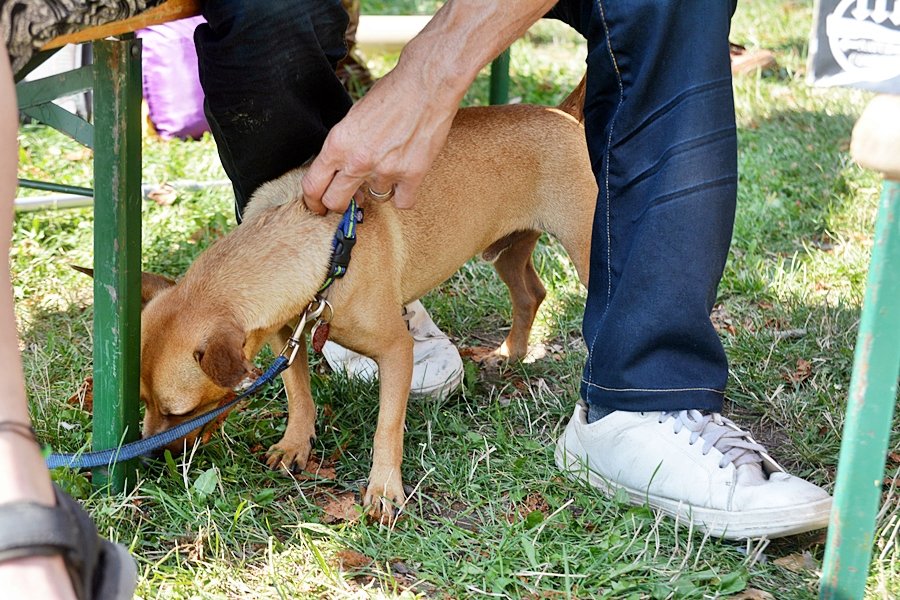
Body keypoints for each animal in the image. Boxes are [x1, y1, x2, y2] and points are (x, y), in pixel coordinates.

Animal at [135, 81, 596, 520]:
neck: (323, 246)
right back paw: (510, 353)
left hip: (586, 253)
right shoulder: (286, 338)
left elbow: (387, 427)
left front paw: (385, 488)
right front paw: (295, 443)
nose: (150, 456)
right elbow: (299, 395)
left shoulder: (396, 351)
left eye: (180, 411)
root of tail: (561, 113)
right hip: (508, 251)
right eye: (145, 402)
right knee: (531, 293)